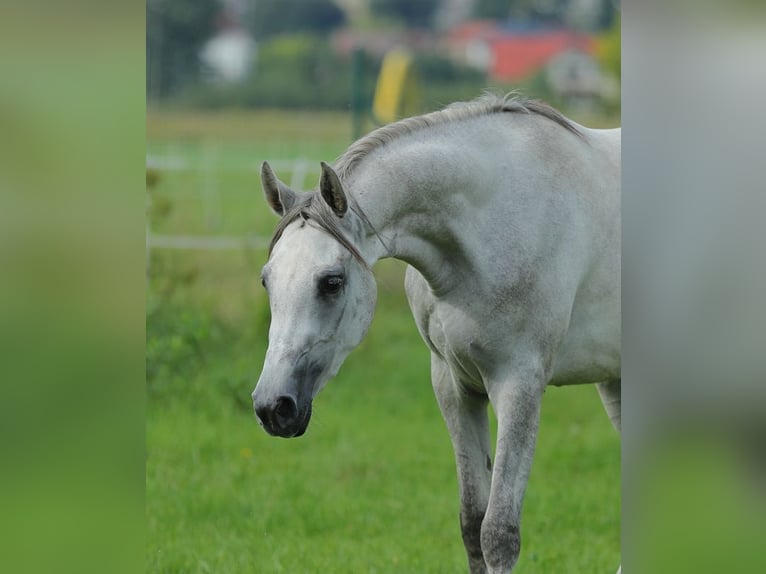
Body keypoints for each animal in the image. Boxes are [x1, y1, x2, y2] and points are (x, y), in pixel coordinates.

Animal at [254, 92, 624, 572]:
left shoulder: (519, 385)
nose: (272, 407)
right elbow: (472, 523)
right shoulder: (454, 384)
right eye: (267, 280)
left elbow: (498, 532)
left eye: (331, 282)